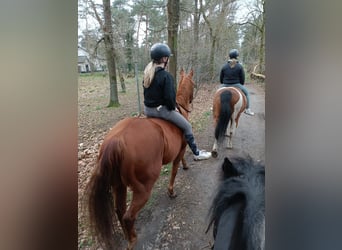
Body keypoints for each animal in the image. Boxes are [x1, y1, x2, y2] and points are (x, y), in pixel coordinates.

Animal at [84, 69, 194, 250]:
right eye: (193, 84)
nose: (191, 101)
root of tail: (116, 139)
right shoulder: (181, 150)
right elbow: (174, 170)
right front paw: (171, 190)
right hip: (143, 189)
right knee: (128, 216)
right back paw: (133, 240)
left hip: (119, 185)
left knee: (120, 211)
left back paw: (128, 236)